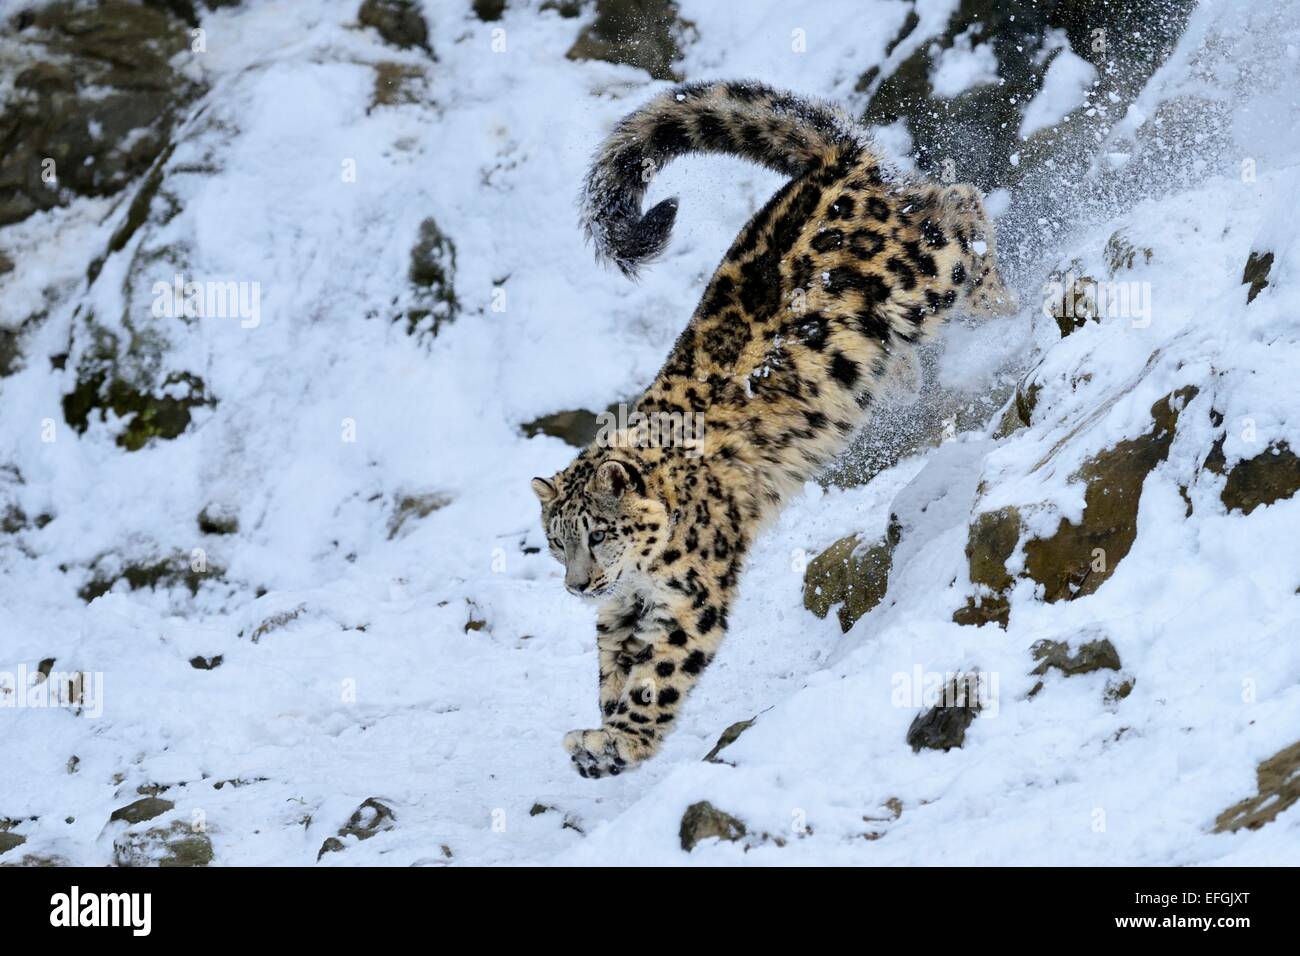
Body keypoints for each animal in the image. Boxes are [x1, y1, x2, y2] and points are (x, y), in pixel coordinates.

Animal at [532, 80, 1014, 778]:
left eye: (598, 533)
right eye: (555, 541)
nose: (577, 585)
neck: (640, 574)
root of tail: (838, 164)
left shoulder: (690, 591)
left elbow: (659, 673)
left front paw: (619, 743)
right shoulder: (623, 606)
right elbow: (612, 667)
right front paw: (602, 732)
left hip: (924, 275)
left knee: (963, 206)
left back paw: (1007, 307)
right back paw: (904, 375)